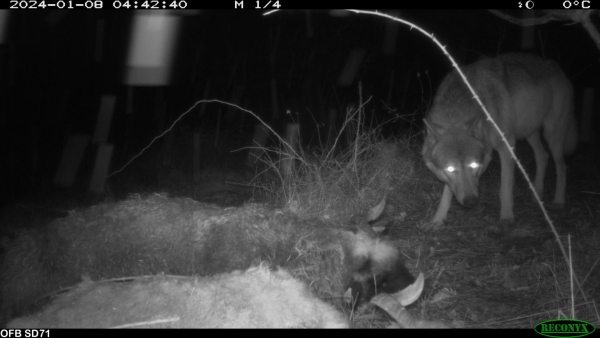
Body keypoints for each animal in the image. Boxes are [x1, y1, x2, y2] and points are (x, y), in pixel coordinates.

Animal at [420, 52, 580, 227]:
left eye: (474, 165)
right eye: (450, 169)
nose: (471, 202)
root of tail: (558, 69)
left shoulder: (507, 145)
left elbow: (505, 188)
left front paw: (506, 217)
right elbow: (446, 193)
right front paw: (438, 220)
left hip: (553, 135)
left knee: (562, 167)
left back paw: (558, 201)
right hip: (530, 133)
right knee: (543, 157)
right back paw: (537, 195)